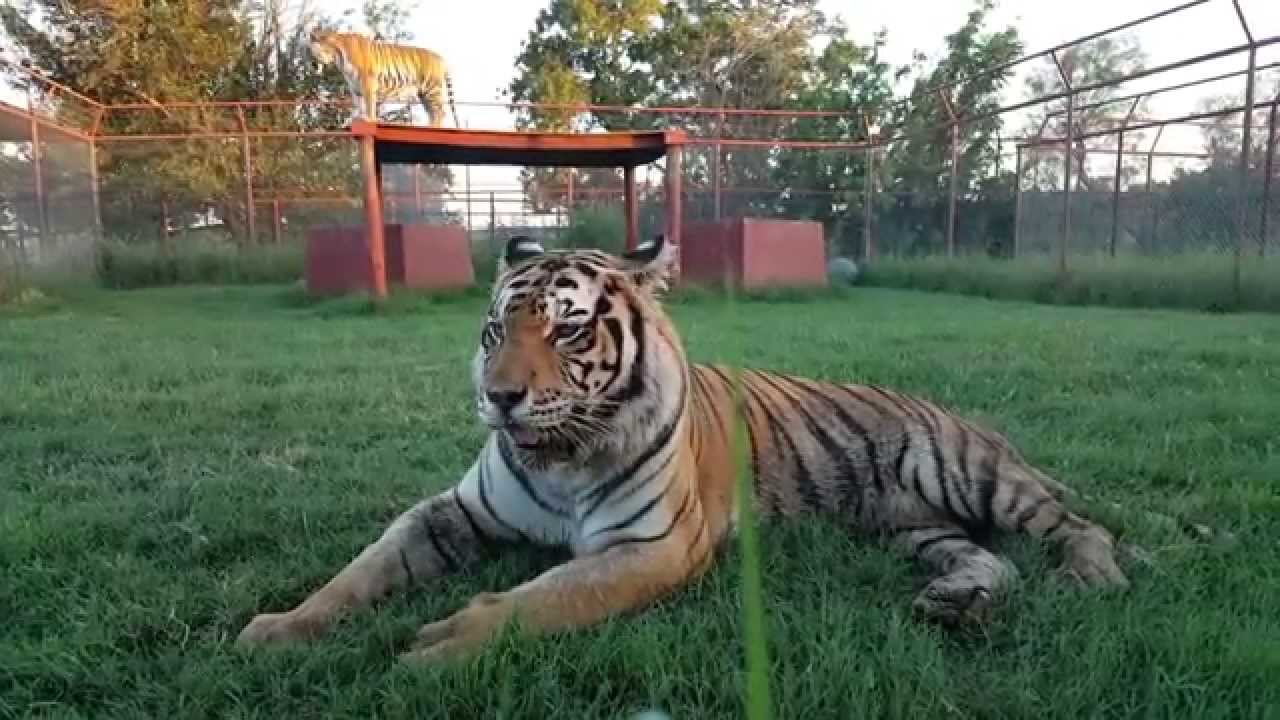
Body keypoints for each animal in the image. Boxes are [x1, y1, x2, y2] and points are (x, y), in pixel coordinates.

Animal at [236, 233, 1135, 663]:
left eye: (566, 329)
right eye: (494, 331)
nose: (499, 396)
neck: (560, 460)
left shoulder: (651, 545)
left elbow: (546, 600)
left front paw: (443, 644)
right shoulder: (450, 512)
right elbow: (360, 571)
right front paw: (277, 629)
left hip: (961, 472)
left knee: (1075, 524)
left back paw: (1092, 576)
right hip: (917, 529)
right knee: (990, 558)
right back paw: (957, 602)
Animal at [308, 29, 459, 127]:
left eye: (311, 51)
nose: (312, 64)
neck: (338, 56)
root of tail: (441, 58)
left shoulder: (367, 82)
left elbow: (369, 104)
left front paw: (369, 119)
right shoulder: (354, 86)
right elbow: (358, 104)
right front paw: (356, 119)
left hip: (431, 89)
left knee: (440, 112)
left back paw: (433, 128)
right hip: (424, 94)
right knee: (433, 113)